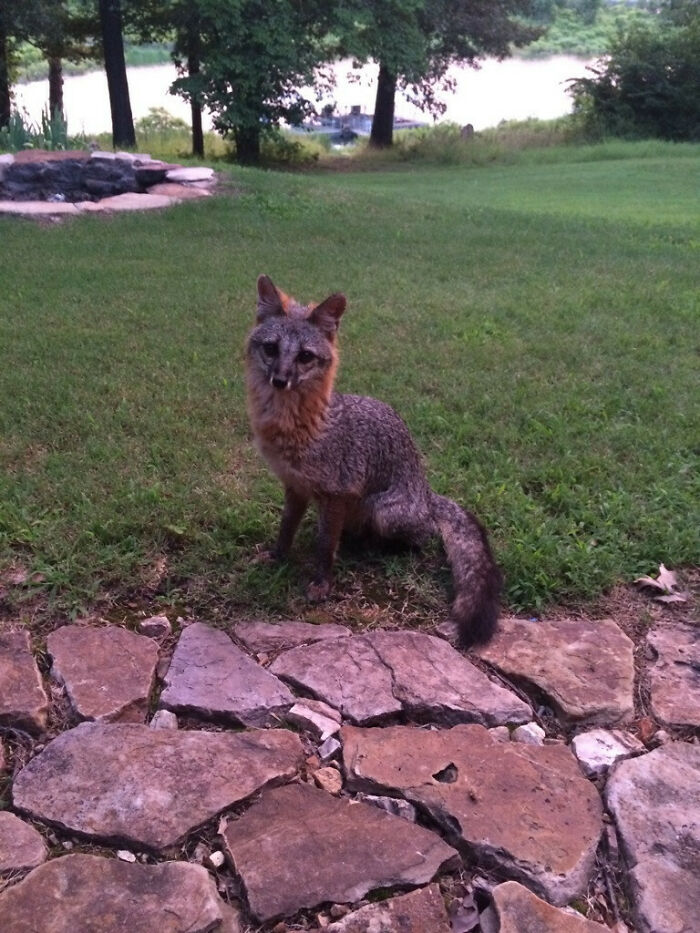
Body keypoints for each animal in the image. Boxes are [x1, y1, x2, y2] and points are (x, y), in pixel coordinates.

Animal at [245, 275, 502, 647]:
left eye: (305, 356)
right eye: (271, 349)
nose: (280, 380)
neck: (300, 427)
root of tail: (427, 492)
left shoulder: (336, 494)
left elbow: (325, 546)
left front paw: (321, 584)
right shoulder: (295, 487)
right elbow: (286, 528)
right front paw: (279, 557)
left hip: (381, 512)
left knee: (422, 538)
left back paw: (376, 547)